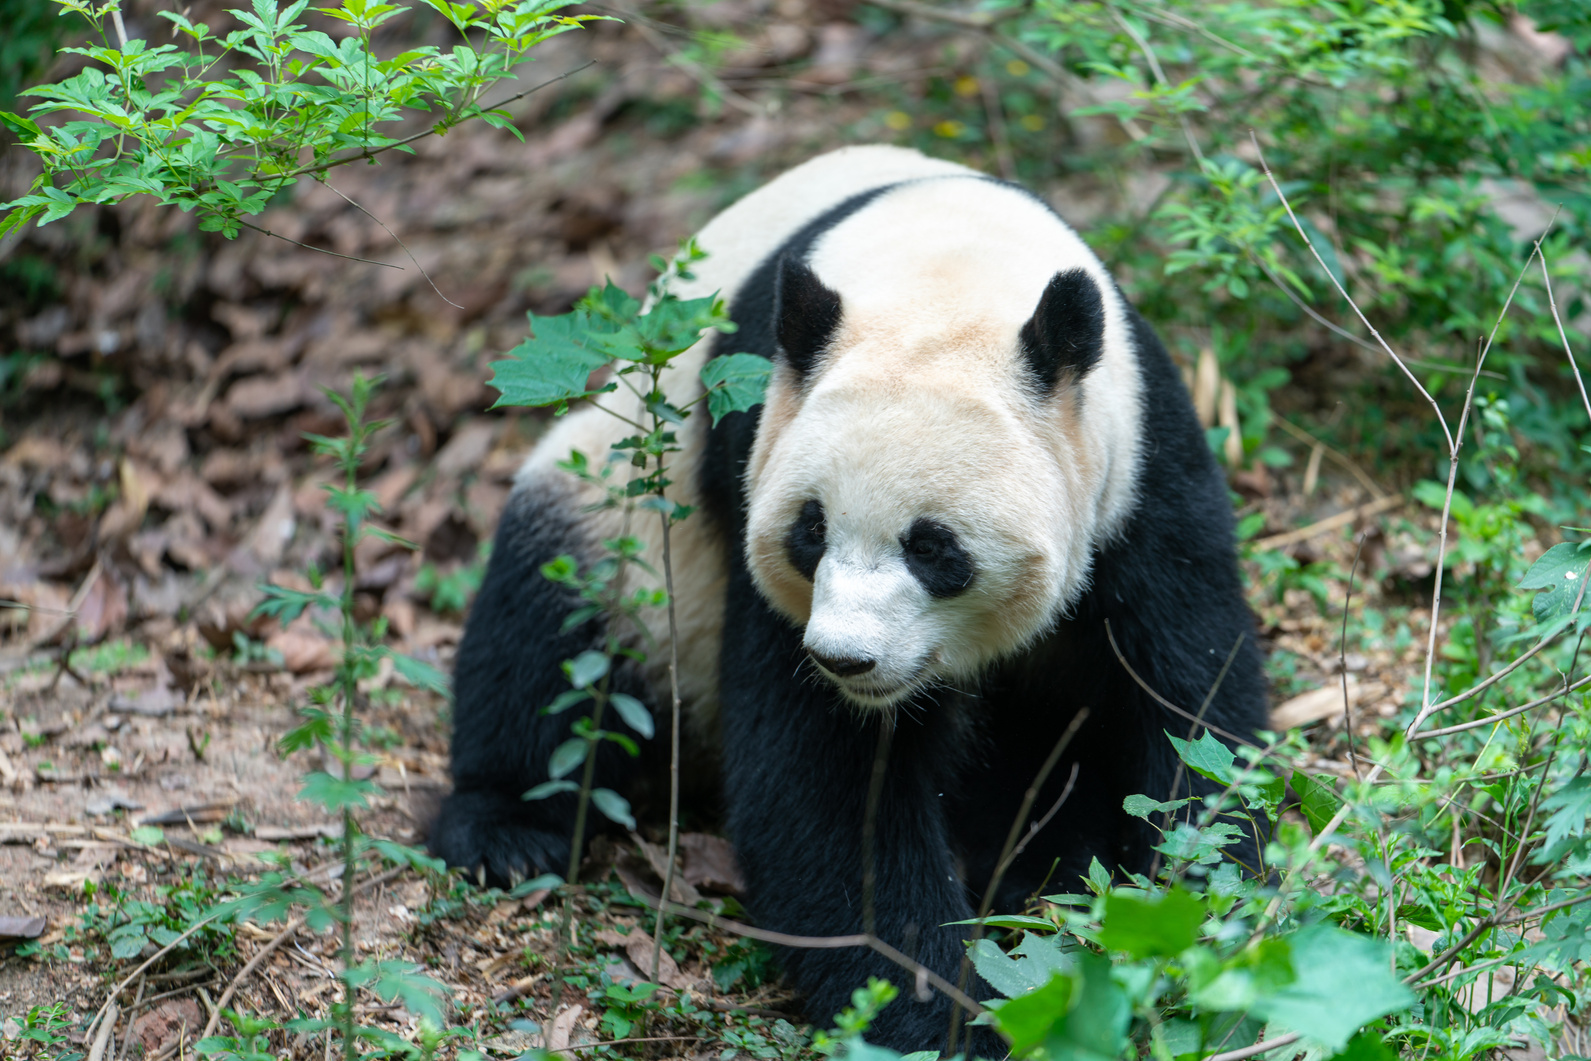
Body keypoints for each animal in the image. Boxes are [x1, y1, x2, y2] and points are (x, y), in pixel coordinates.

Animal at [432, 147, 1266, 1056]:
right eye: (811, 530)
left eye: (932, 547)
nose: (846, 658)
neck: (945, 273)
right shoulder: (753, 439)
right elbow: (827, 782)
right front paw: (940, 1017)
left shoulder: (1137, 465)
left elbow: (1187, 695)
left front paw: (1202, 912)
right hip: (620, 528)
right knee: (545, 632)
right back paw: (504, 832)